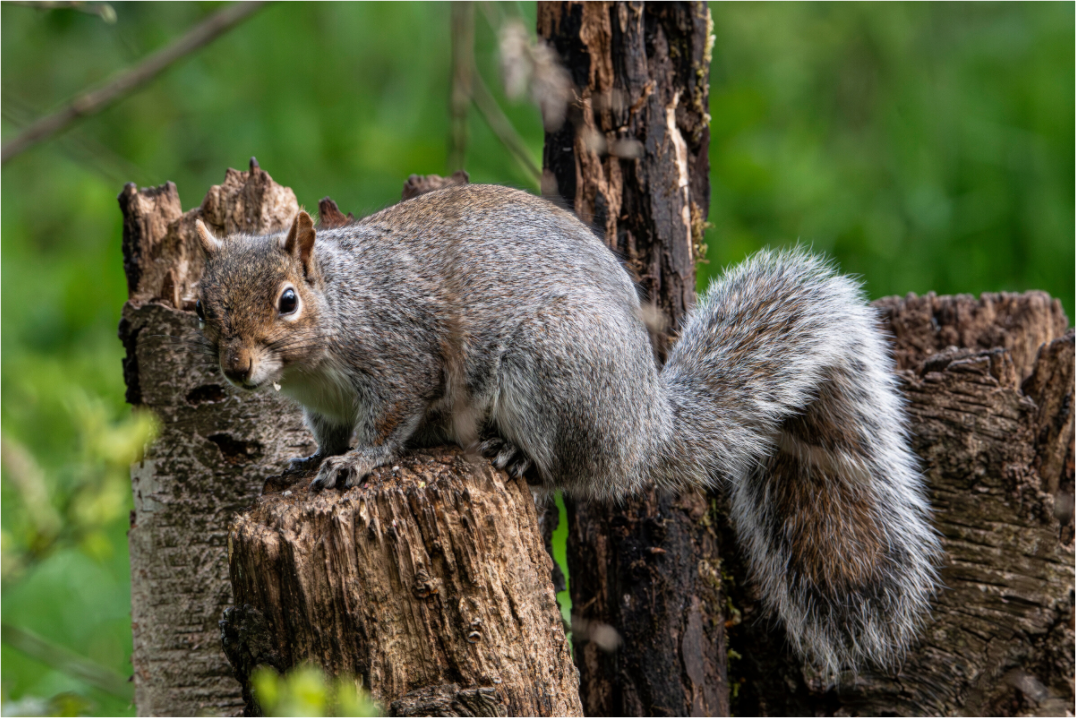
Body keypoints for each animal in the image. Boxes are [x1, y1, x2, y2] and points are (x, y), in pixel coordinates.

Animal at [193, 183, 940, 677]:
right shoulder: (323, 408)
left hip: (555, 365)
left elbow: (387, 422)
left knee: (573, 470)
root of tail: (645, 427)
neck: (339, 313)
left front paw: (358, 464)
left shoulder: (401, 361)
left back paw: (518, 457)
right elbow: (324, 437)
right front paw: (300, 466)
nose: (236, 368)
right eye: (200, 306)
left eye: (288, 300)